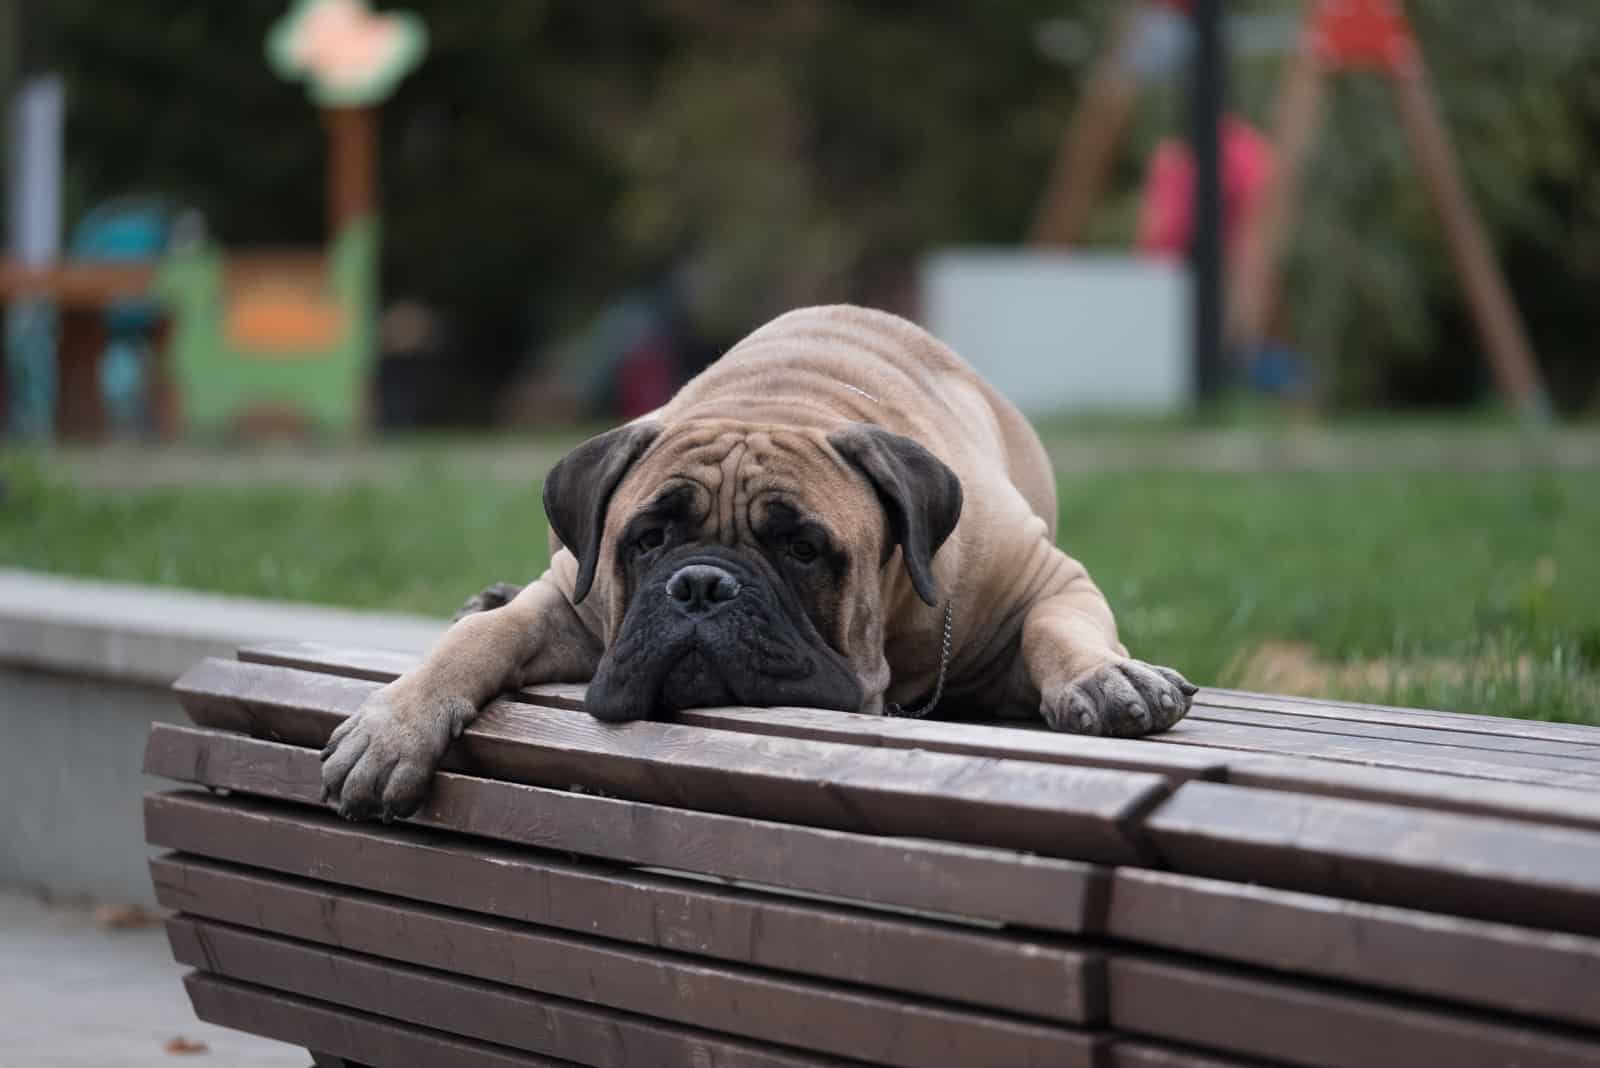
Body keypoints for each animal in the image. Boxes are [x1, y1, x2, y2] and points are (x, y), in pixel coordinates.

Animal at [324, 303, 1196, 824]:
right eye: (648, 540)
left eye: (803, 550)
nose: (702, 585)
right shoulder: (572, 599)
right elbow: (484, 640)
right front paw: (394, 726)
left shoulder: (1040, 578)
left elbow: (1058, 628)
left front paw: (1104, 678)